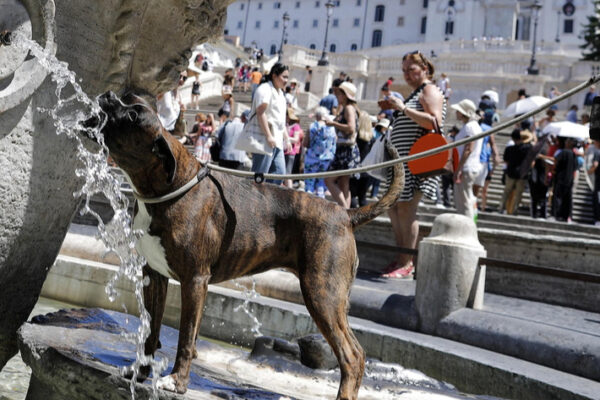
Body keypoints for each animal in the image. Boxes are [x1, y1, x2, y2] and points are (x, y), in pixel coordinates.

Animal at [98, 90, 406, 400]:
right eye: (129, 100)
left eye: (133, 115)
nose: (110, 96)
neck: (170, 187)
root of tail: (345, 214)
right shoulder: (154, 275)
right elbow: (151, 332)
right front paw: (140, 372)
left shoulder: (194, 280)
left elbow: (186, 336)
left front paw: (176, 382)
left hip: (323, 294)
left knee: (352, 355)